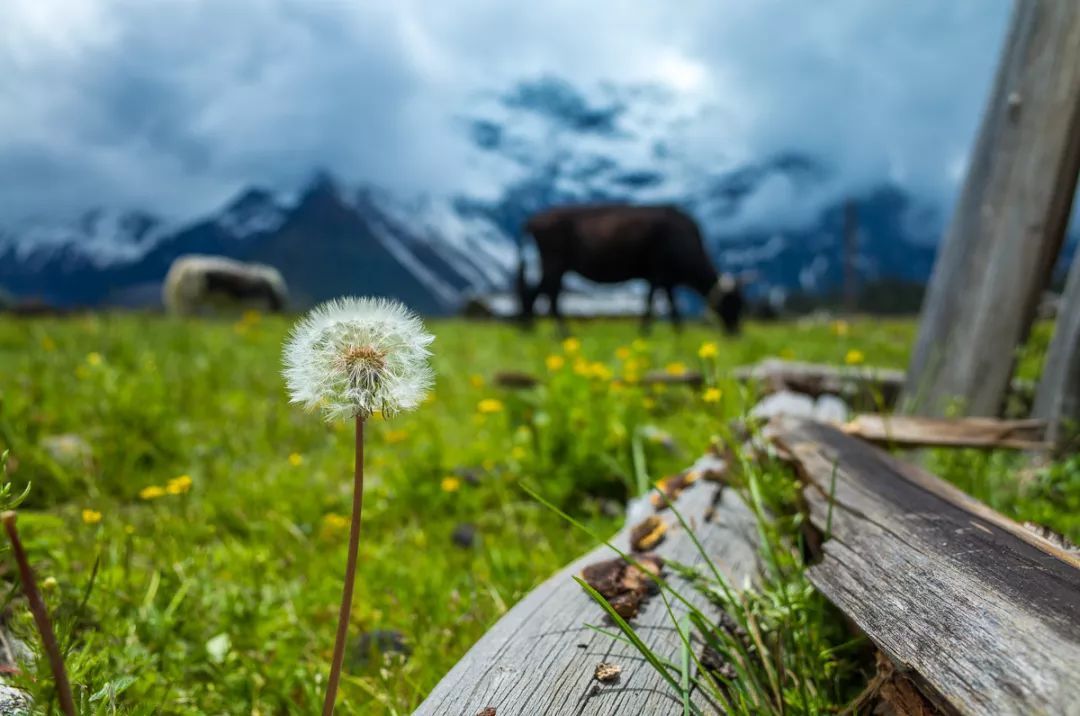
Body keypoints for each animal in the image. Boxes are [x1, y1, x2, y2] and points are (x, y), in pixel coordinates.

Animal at [520, 204, 743, 332]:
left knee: (540, 293)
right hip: (554, 262)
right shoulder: (658, 273)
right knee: (547, 294)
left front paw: (675, 332)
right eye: (732, 303)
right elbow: (655, 304)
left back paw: (531, 329)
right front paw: (649, 331)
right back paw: (556, 332)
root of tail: (532, 220)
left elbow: (667, 305)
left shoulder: (664, 278)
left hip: (555, 265)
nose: (736, 333)